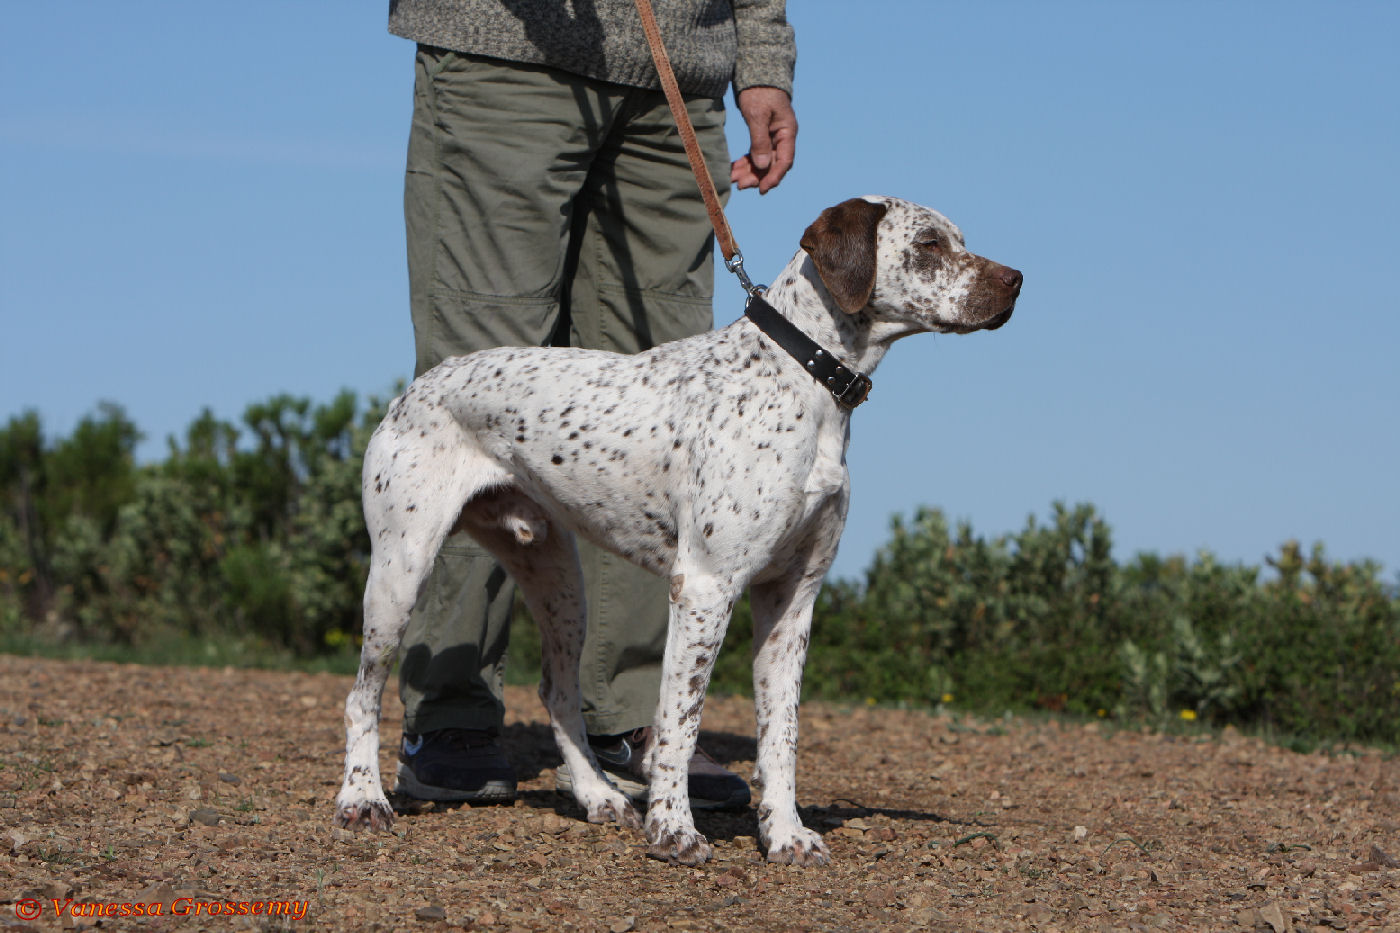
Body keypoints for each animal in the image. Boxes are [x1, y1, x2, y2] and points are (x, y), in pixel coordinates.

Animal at [334, 196, 1024, 862]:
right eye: (929, 243)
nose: (1018, 280)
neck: (801, 381)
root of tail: (415, 388)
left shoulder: (792, 601)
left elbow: (782, 736)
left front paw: (785, 835)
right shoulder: (706, 588)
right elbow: (680, 721)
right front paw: (673, 831)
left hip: (559, 584)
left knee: (557, 693)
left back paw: (598, 796)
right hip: (401, 572)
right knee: (362, 694)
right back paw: (362, 800)